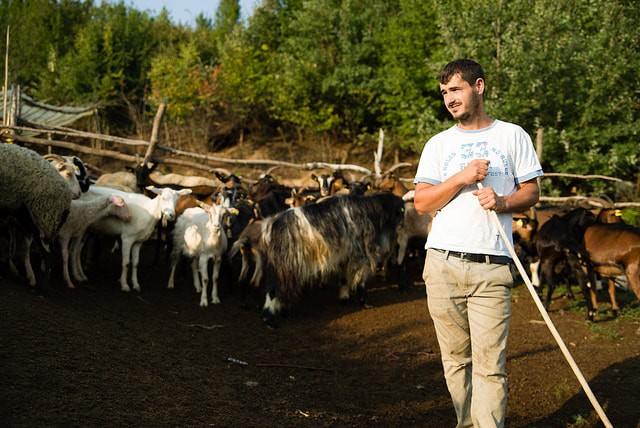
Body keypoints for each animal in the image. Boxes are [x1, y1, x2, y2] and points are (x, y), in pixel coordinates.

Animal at [0, 144, 76, 294]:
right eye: (69, 173)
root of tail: (66, 199)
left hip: (42, 218)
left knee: (48, 255)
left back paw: (42, 289)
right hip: (45, 225)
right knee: (46, 255)